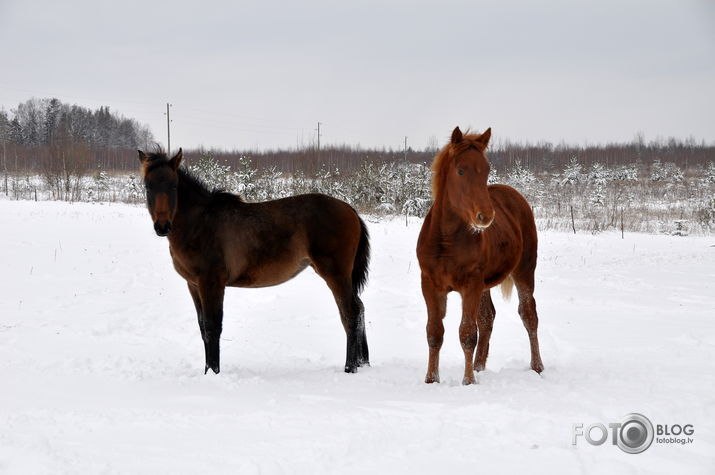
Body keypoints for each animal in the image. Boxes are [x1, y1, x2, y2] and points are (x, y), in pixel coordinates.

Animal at [138, 149, 372, 376]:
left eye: (174, 185)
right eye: (148, 186)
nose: (162, 227)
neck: (200, 223)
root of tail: (349, 209)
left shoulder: (211, 283)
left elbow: (213, 327)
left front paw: (213, 372)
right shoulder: (193, 285)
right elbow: (203, 327)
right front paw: (207, 371)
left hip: (336, 274)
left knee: (350, 314)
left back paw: (350, 367)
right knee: (358, 309)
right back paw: (362, 362)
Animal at [414, 127, 544, 386]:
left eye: (486, 169)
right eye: (460, 170)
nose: (486, 216)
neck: (446, 241)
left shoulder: (470, 284)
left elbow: (466, 333)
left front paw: (468, 381)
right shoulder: (430, 284)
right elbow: (434, 332)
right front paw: (431, 379)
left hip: (524, 271)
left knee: (529, 315)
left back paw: (536, 367)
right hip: (485, 284)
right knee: (487, 318)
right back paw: (479, 366)